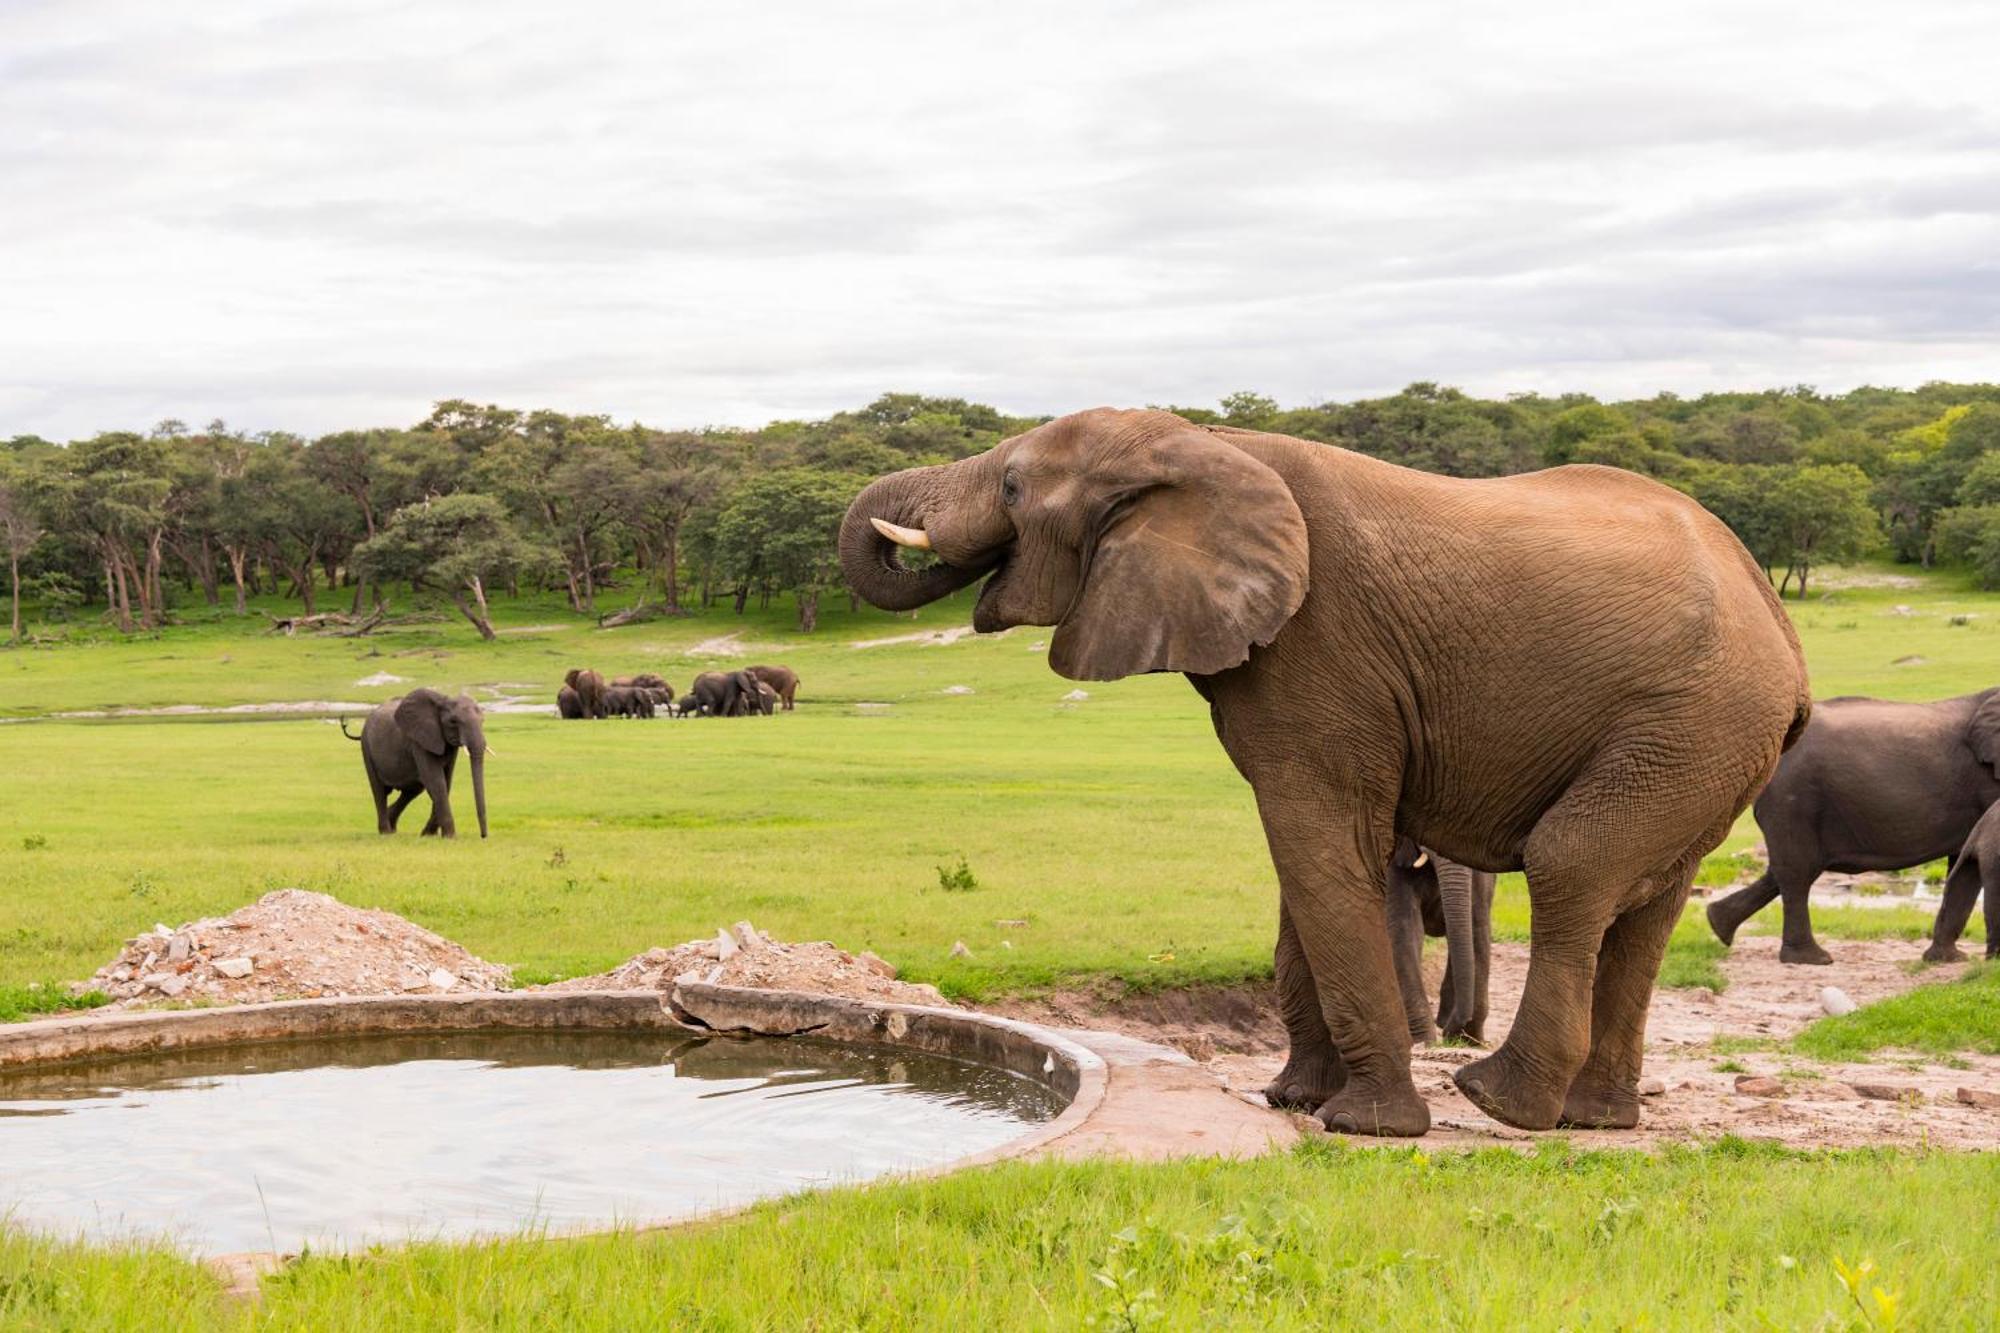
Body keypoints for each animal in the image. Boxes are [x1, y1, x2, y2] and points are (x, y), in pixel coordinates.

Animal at [338, 688, 490, 836]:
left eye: (483, 721)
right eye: (453, 721)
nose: (483, 836)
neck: (442, 700)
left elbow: (445, 781)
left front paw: (428, 835)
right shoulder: (419, 740)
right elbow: (436, 781)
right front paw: (449, 837)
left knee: (413, 788)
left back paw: (392, 826)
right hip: (367, 747)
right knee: (379, 790)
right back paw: (386, 832)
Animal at [836, 404, 1808, 1128]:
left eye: (1011, 485)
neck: (1201, 442)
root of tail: (1781, 627)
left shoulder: (1321, 651)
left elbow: (1318, 844)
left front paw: (1367, 1124)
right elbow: (1312, 861)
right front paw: (1294, 1098)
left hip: (1693, 720)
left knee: (1573, 864)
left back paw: (1499, 1101)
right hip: (1703, 741)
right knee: (1648, 901)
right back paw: (1594, 1117)